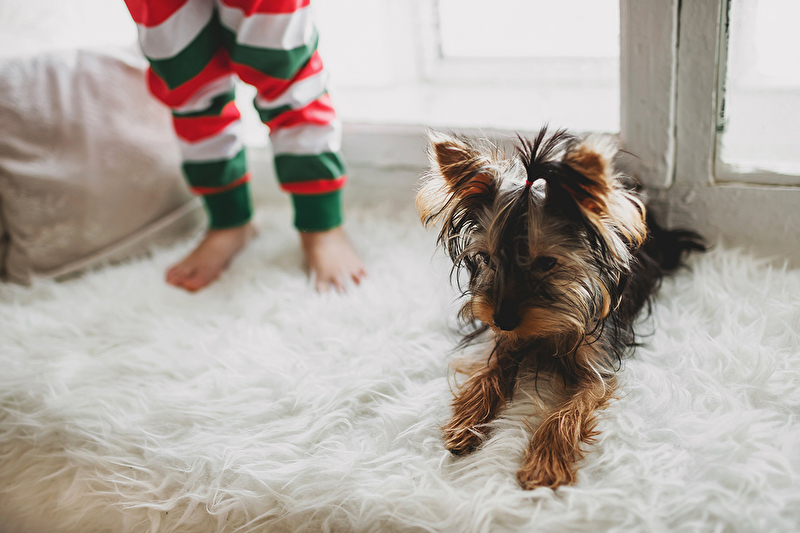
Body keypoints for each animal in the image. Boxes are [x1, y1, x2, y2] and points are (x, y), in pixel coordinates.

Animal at [416, 127, 704, 489]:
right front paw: (467, 421)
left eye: (546, 263)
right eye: (487, 258)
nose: (502, 319)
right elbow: (490, 370)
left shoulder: (597, 364)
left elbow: (569, 410)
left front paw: (544, 462)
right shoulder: (507, 337)